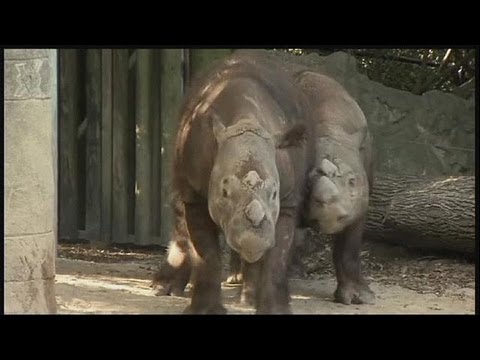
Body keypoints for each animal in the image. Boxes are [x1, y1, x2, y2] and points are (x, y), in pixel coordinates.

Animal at [152, 49, 314, 314]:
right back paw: (163, 288)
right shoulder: (196, 193)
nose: (252, 240)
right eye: (224, 193)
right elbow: (206, 253)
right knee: (178, 208)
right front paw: (204, 310)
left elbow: (278, 257)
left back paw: (246, 295)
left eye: (274, 194)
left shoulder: (288, 197)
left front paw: (275, 309)